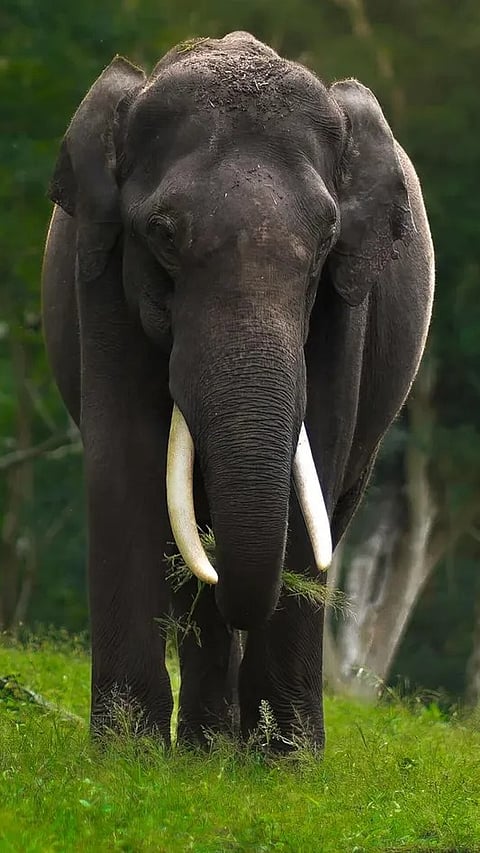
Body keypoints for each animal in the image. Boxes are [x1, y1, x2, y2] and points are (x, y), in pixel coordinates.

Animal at [42, 31, 434, 750]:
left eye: (327, 240)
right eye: (163, 234)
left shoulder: (346, 299)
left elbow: (320, 455)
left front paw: (287, 761)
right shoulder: (99, 266)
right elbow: (125, 457)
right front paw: (126, 754)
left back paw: (217, 745)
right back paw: (206, 745)